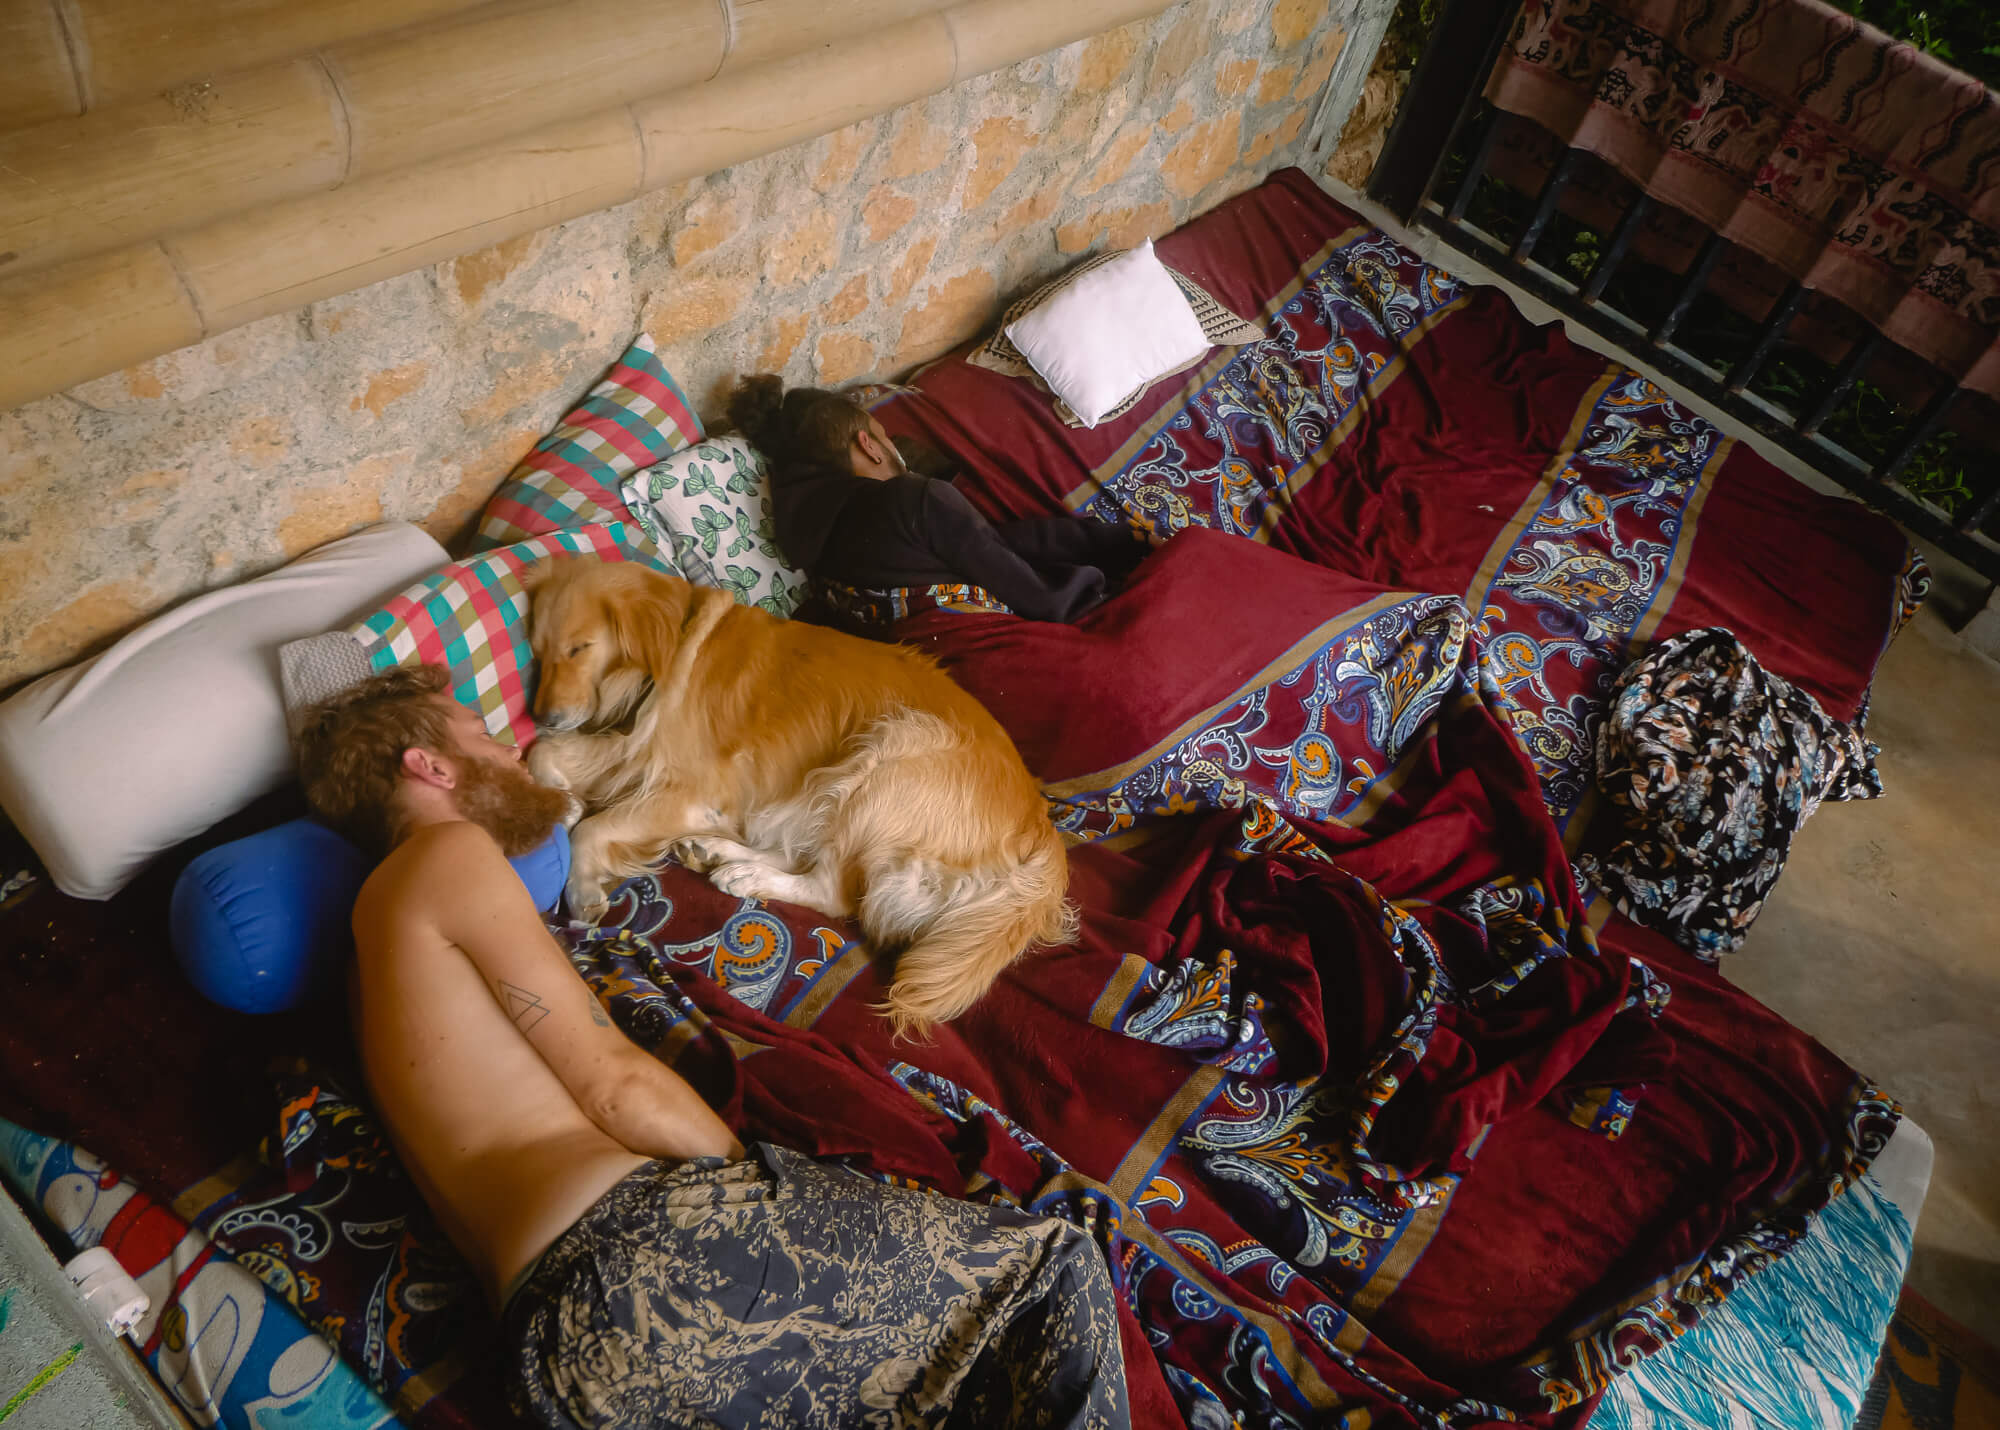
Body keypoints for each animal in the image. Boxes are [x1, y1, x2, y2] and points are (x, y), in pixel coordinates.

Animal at [524, 560, 1072, 1040]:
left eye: (579, 648)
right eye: (539, 650)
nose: (542, 715)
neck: (675, 646)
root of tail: (1039, 825)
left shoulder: (690, 792)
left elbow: (595, 827)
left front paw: (583, 890)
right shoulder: (620, 749)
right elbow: (544, 754)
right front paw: (561, 803)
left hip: (887, 758)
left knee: (833, 890)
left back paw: (746, 875)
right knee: (800, 856)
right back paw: (717, 854)